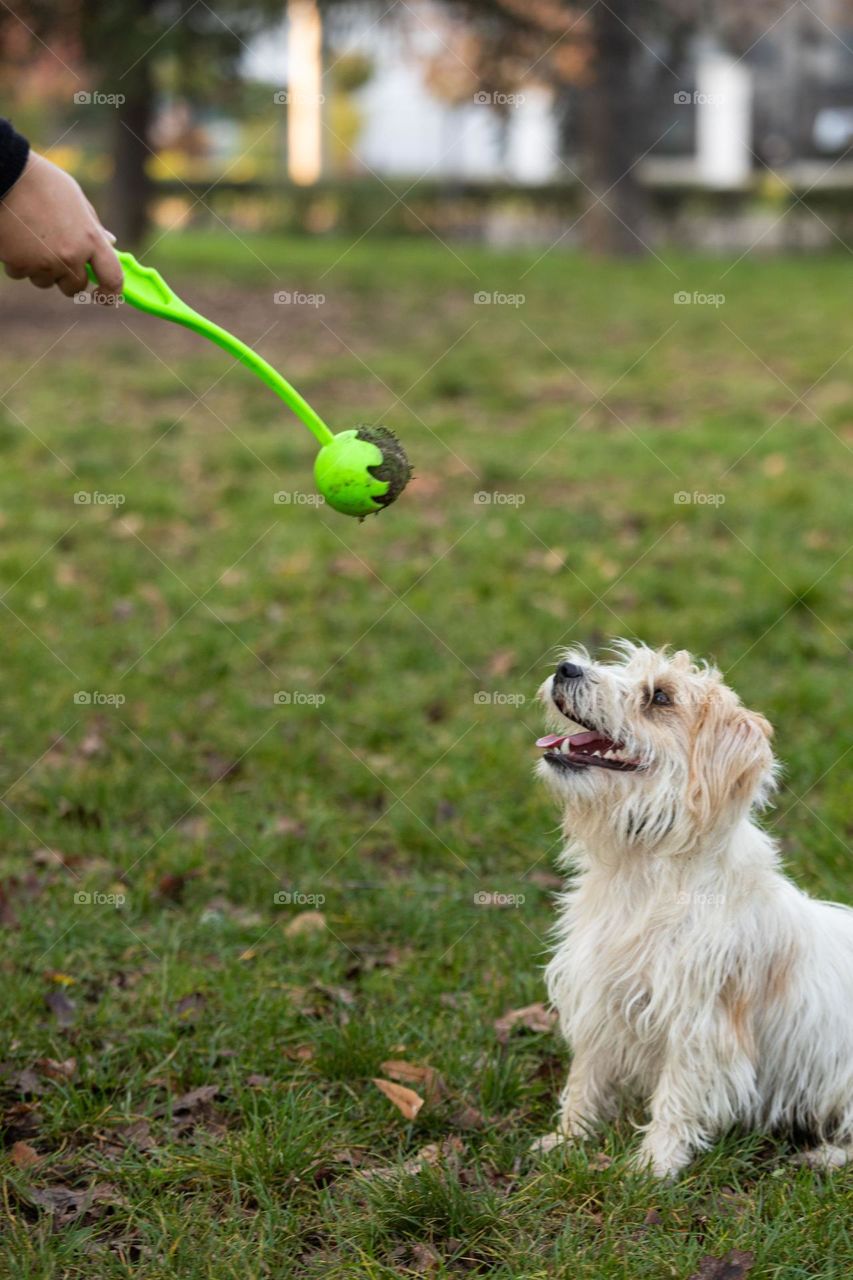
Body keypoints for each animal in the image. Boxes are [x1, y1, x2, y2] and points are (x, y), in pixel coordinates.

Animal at [535, 645, 845, 1172]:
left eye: (660, 697)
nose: (567, 667)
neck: (643, 871)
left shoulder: (701, 1024)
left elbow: (677, 1095)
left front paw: (652, 1166)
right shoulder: (599, 996)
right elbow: (586, 1079)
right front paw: (567, 1139)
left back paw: (824, 1156)